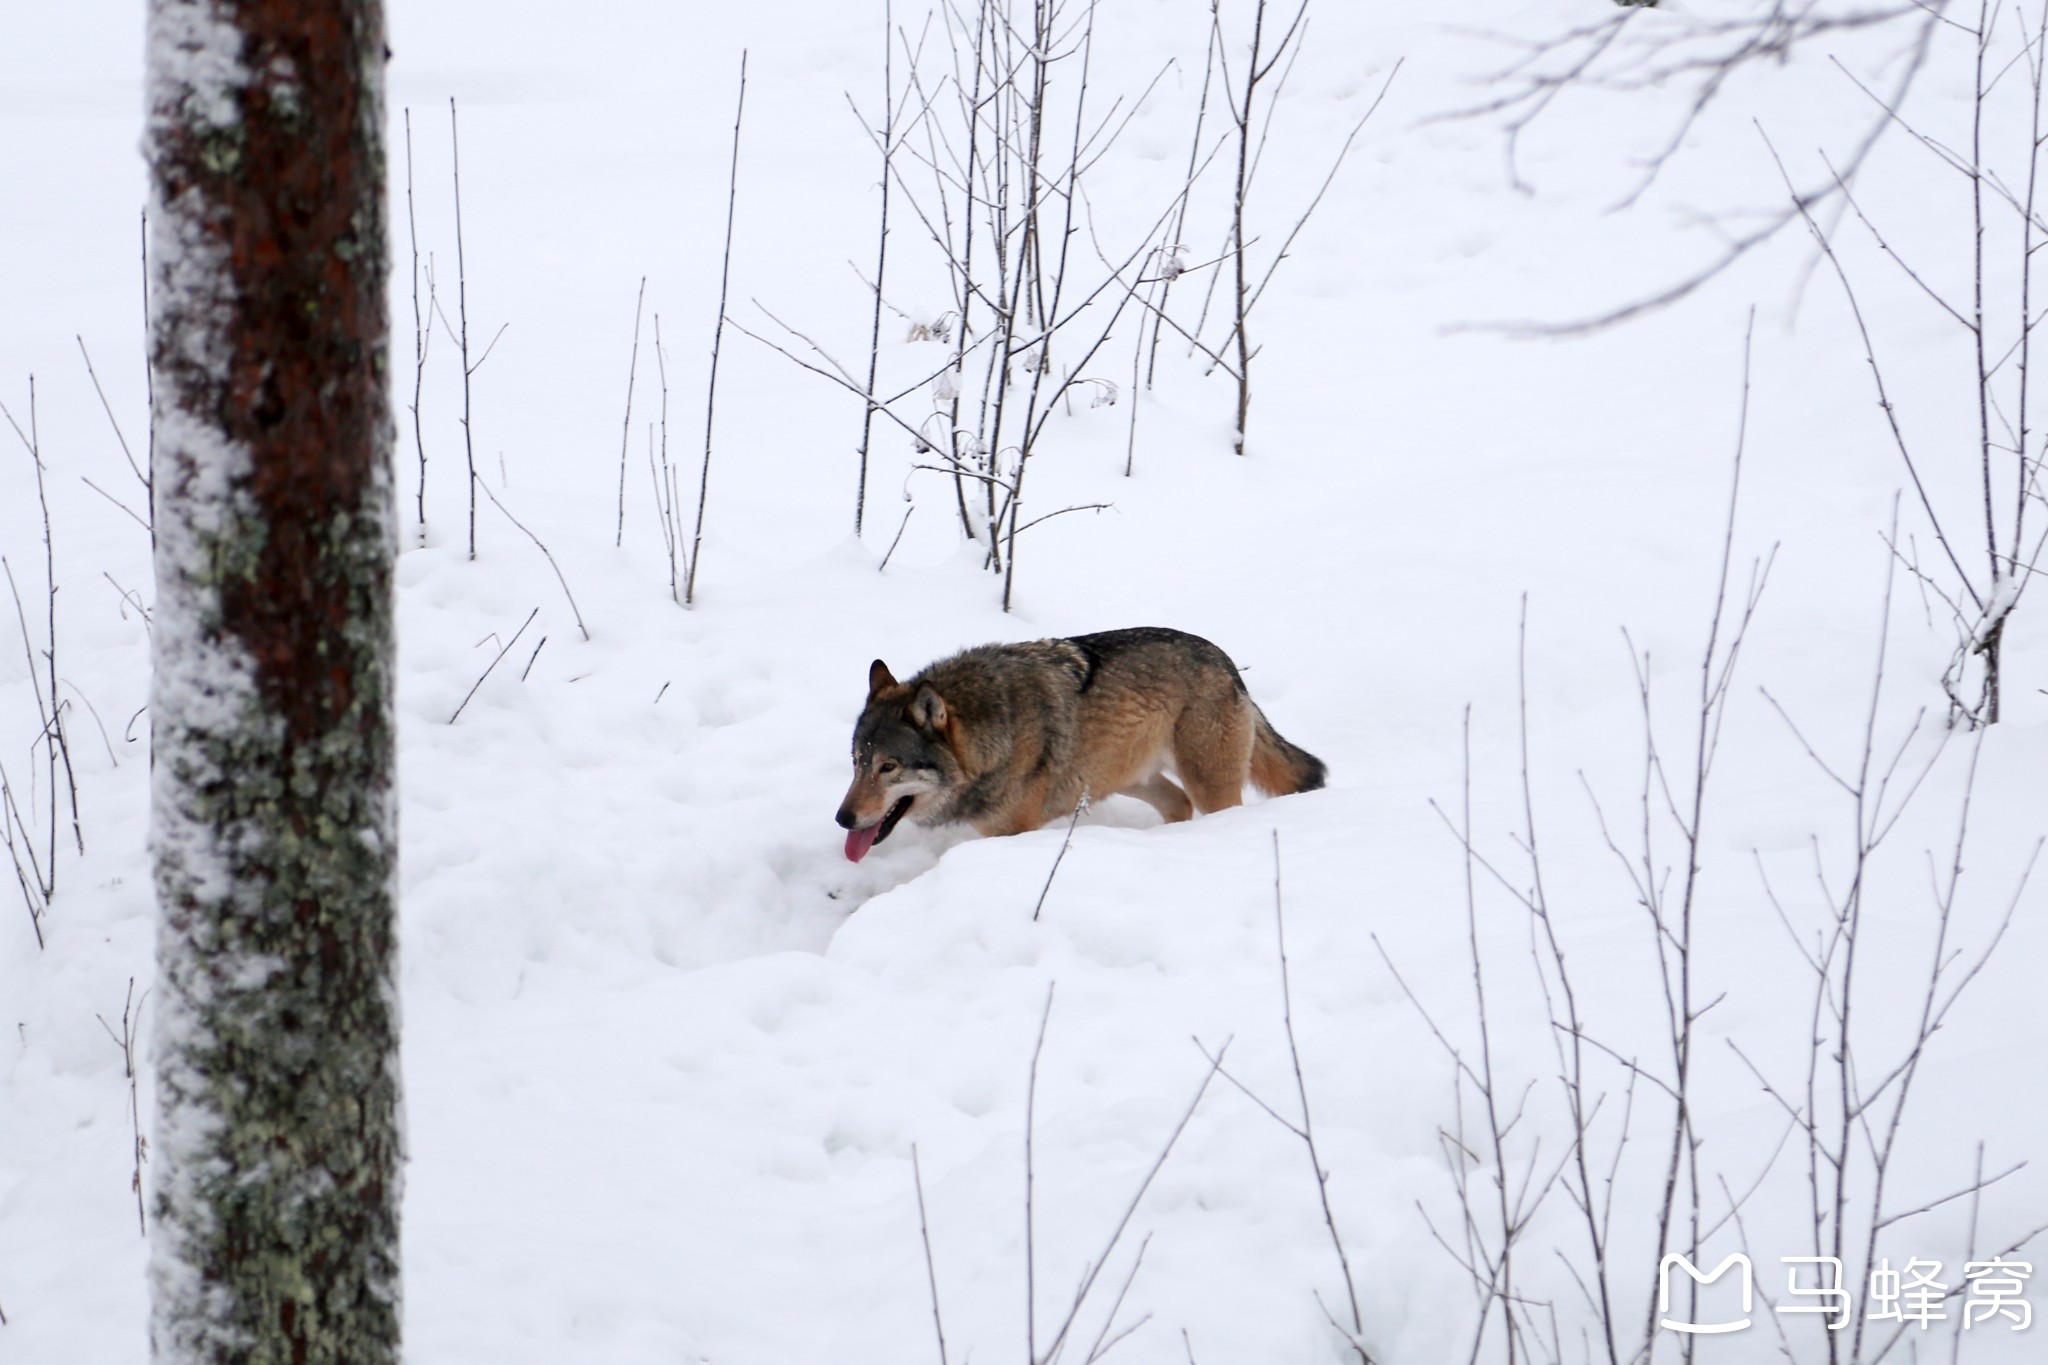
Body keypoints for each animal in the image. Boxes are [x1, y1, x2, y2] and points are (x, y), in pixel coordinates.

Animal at [831, 626, 1327, 859]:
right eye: (856, 762)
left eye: (888, 767)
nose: (842, 819)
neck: (992, 731)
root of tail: (1225, 660)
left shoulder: (1015, 831)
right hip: (1128, 778)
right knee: (1179, 804)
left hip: (1210, 786)